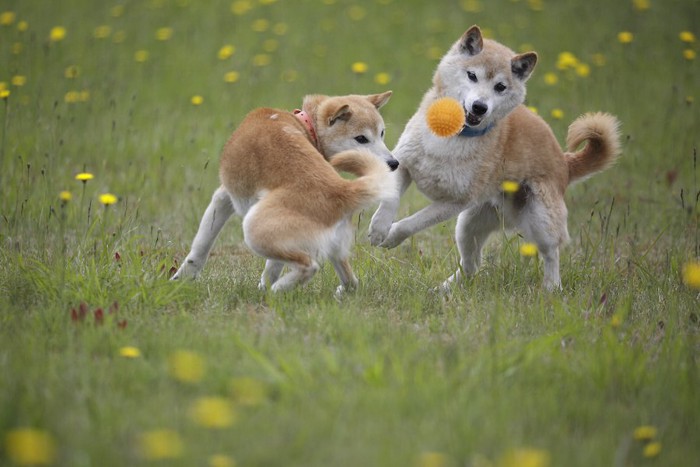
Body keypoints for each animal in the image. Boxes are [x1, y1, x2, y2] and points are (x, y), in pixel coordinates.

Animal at [172, 93, 396, 294]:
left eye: (382, 133)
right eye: (362, 139)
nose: (394, 163)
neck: (305, 124)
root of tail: (341, 191)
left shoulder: (223, 197)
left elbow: (201, 246)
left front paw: (181, 279)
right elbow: (272, 267)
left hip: (254, 229)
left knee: (309, 266)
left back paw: (278, 289)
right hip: (331, 247)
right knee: (351, 283)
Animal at [370, 27, 620, 290]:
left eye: (500, 86)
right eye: (472, 75)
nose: (480, 107)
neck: (452, 134)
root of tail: (564, 161)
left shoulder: (457, 201)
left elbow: (412, 223)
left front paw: (391, 236)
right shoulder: (403, 164)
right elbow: (390, 201)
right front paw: (378, 229)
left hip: (539, 219)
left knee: (551, 253)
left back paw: (551, 288)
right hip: (469, 226)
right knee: (471, 265)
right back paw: (443, 290)